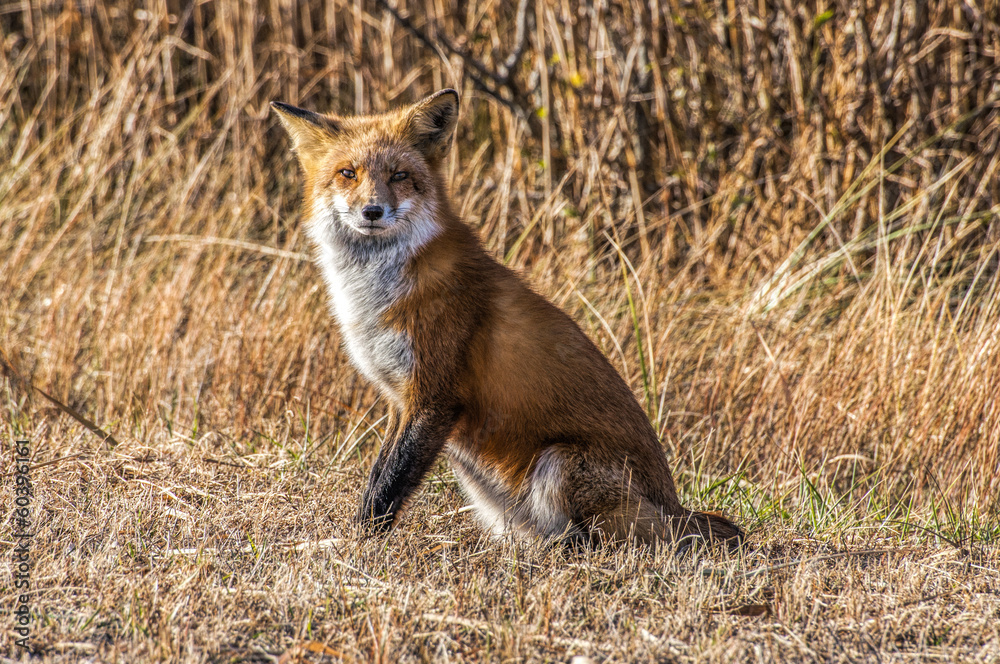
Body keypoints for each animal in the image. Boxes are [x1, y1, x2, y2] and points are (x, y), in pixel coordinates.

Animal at [271, 89, 742, 551]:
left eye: (400, 175)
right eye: (348, 173)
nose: (372, 211)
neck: (375, 291)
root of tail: (677, 510)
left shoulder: (434, 393)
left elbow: (389, 485)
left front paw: (361, 544)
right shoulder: (399, 399)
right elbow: (377, 475)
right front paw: (345, 541)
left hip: (558, 464)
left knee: (602, 544)